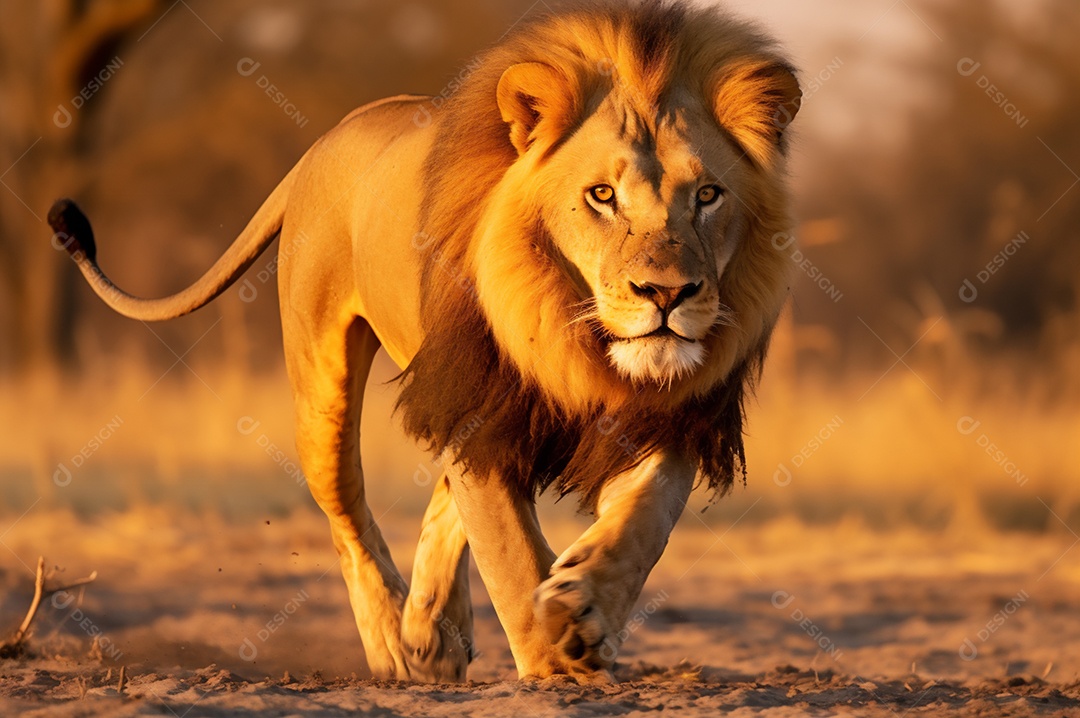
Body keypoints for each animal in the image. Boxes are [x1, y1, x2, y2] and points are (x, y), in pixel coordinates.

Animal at [47, 1, 800, 683]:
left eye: (708, 195)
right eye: (602, 195)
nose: (667, 295)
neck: (575, 336)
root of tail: (330, 137)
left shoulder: (671, 414)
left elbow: (643, 522)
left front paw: (583, 610)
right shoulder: (478, 404)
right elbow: (510, 551)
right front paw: (551, 657)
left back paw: (434, 633)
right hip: (323, 381)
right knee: (346, 509)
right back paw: (392, 641)